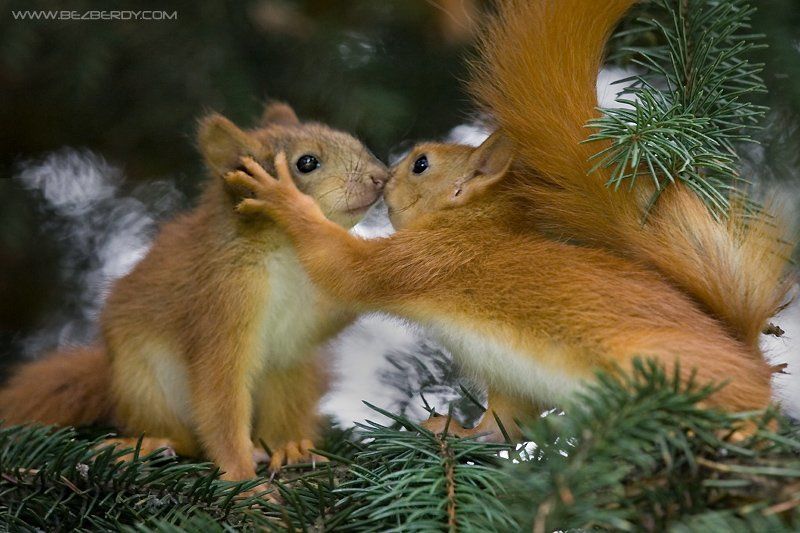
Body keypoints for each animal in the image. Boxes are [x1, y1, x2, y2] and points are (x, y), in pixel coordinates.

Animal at [0, 102, 388, 483]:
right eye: (306, 163)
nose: (381, 177)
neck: (289, 252)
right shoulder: (221, 300)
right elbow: (220, 395)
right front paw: (242, 480)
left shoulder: (312, 308)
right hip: (144, 382)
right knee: (185, 438)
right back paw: (152, 444)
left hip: (295, 372)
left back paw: (290, 447)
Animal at [223, 0, 794, 442]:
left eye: (421, 164)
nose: (383, 177)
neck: (473, 226)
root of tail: (749, 360)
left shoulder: (425, 259)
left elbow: (345, 267)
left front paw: (282, 197)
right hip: (513, 379)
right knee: (503, 427)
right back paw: (457, 431)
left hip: (668, 368)